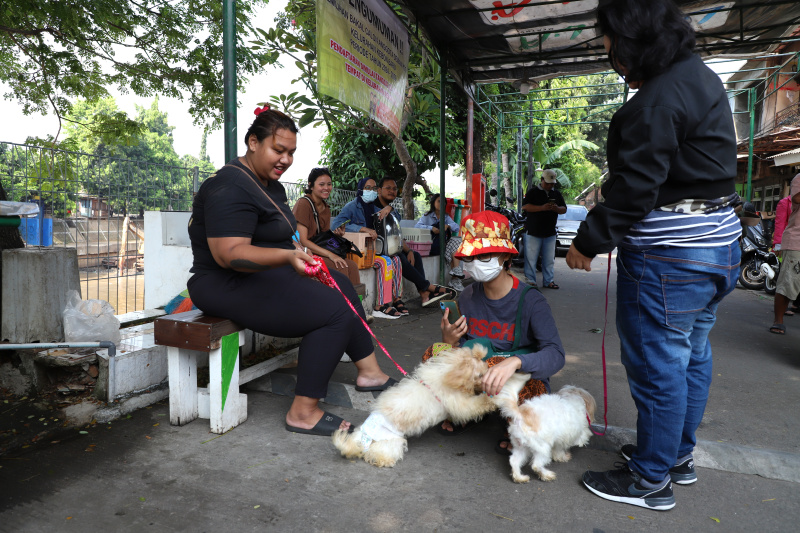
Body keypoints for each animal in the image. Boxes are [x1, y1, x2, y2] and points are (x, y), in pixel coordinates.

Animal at [332, 342, 516, 468]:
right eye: (480, 375)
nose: (486, 384)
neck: (447, 375)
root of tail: (360, 435)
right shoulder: (459, 403)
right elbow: (476, 404)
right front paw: (492, 400)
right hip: (392, 442)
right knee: (377, 454)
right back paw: (383, 460)